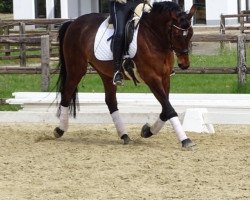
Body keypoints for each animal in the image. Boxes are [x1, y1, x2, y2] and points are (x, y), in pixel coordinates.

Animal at [54, 1, 197, 148]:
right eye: (177, 35)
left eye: (190, 34)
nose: (184, 64)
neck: (154, 36)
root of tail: (73, 22)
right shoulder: (152, 78)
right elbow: (169, 109)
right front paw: (185, 140)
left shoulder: (165, 78)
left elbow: (165, 108)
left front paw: (147, 131)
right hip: (76, 69)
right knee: (66, 94)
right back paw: (59, 130)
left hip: (106, 74)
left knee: (111, 101)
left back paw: (124, 135)